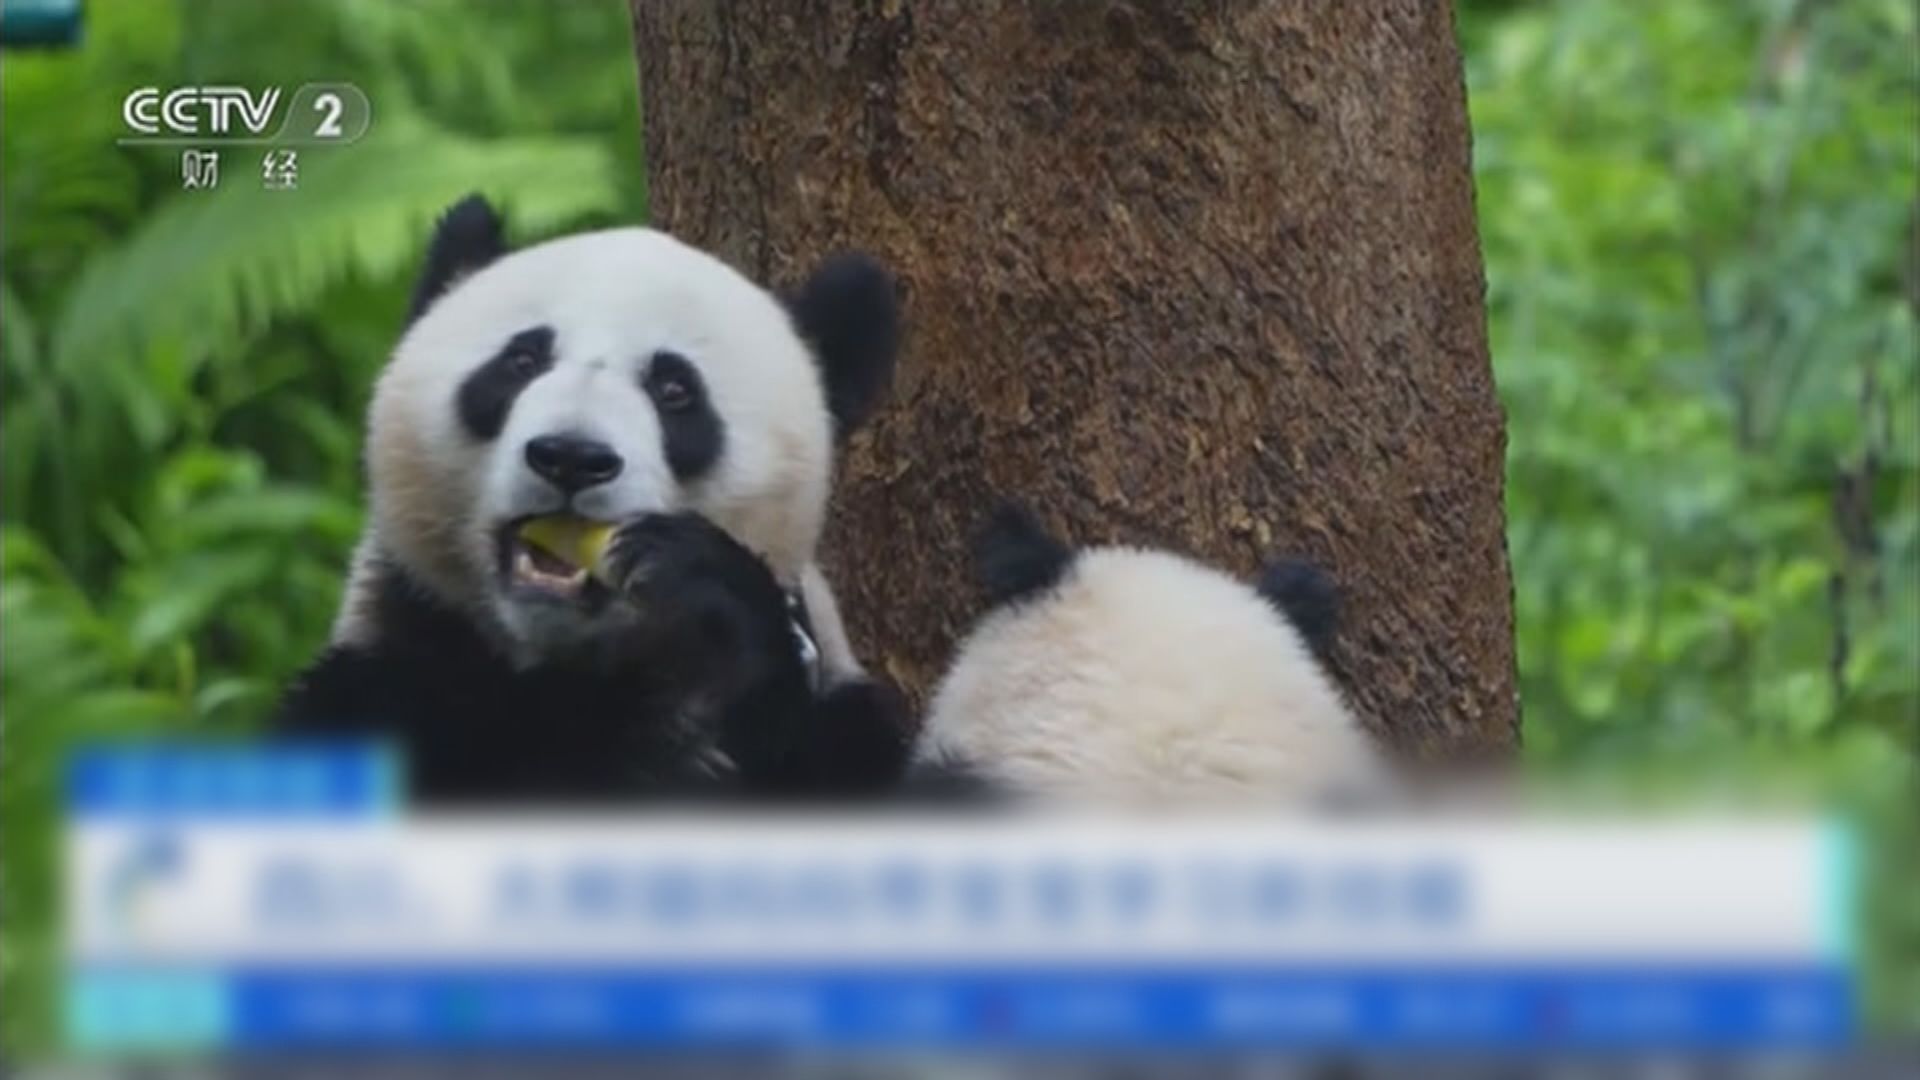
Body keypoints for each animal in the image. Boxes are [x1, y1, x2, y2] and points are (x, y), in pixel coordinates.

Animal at [278, 195, 913, 799]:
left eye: (675, 390)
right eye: (522, 360)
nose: (571, 457)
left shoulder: (836, 715)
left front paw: (706, 601)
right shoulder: (387, 670)